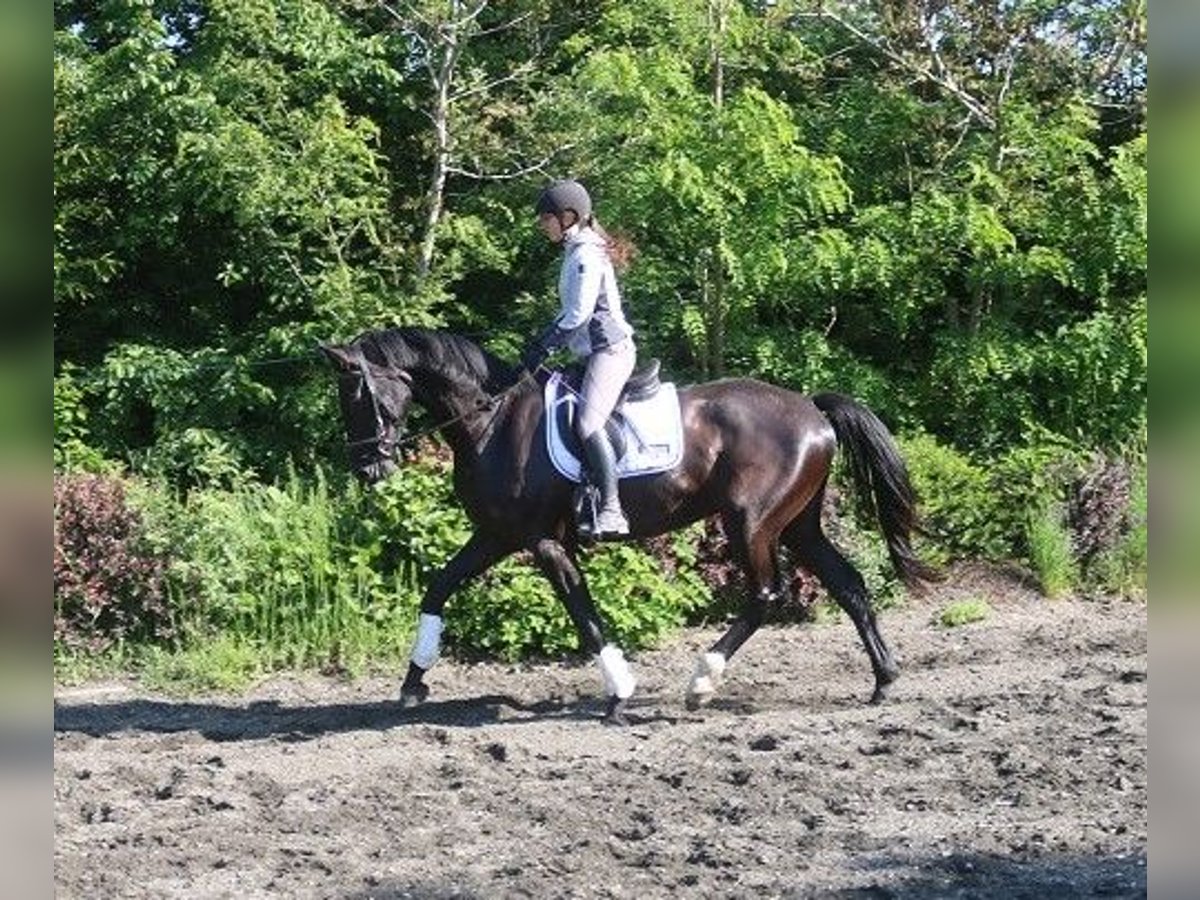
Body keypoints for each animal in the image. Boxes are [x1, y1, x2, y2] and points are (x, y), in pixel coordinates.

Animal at [324, 328, 940, 724]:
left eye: (361, 396)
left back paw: (702, 681)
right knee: (849, 584)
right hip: (797, 525)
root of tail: (812, 410)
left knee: (767, 594)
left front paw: (618, 693)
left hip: (751, 522)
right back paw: (884, 680)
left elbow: (583, 612)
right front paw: (412, 683)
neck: (492, 422)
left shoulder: (542, 541)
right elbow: (439, 587)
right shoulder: (496, 535)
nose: (369, 468)